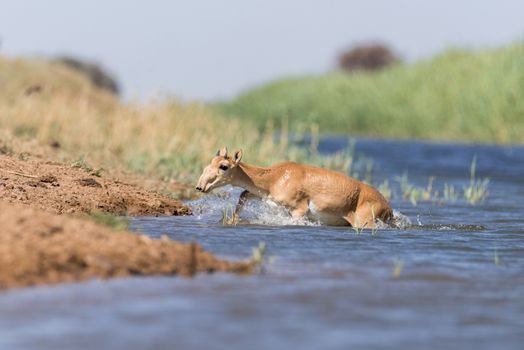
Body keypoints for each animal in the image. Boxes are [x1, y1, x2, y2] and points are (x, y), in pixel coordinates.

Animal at [196, 147, 392, 227]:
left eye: (223, 166)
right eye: (211, 161)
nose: (199, 186)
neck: (276, 177)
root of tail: (387, 206)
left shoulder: (299, 210)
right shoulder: (263, 196)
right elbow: (244, 193)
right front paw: (231, 221)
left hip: (365, 222)